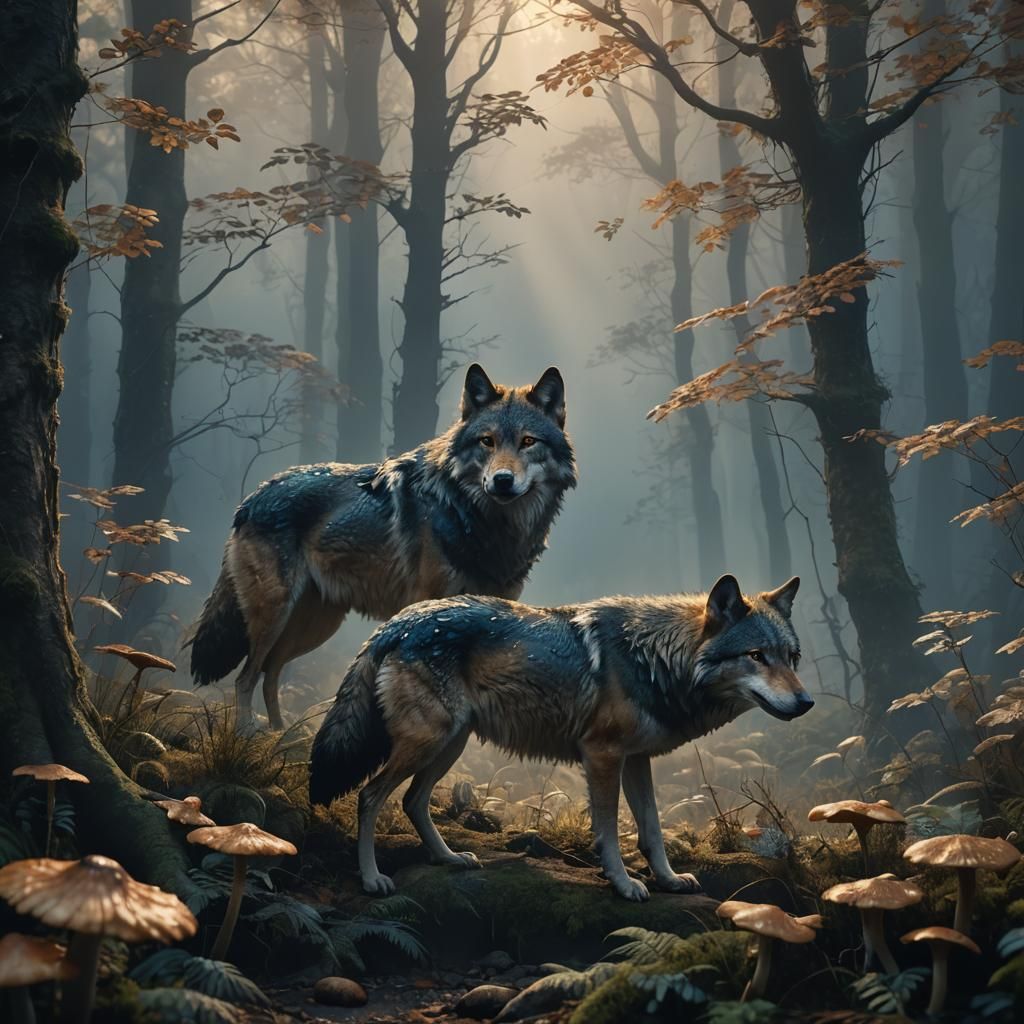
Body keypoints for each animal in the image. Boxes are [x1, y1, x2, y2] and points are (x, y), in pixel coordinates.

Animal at [189, 364, 576, 731]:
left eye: (528, 441)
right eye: (487, 441)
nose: (502, 481)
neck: (483, 521)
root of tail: (252, 497)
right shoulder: (427, 610)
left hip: (314, 626)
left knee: (270, 675)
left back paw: (283, 737)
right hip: (275, 614)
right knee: (246, 677)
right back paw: (248, 734)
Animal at [309, 573, 811, 901]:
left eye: (792, 657)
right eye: (756, 655)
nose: (805, 702)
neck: (656, 659)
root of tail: (394, 623)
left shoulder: (637, 760)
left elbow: (651, 829)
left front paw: (668, 880)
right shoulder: (602, 755)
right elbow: (609, 833)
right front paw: (625, 884)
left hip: (450, 745)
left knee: (413, 801)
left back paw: (450, 859)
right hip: (429, 743)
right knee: (370, 796)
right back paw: (372, 879)